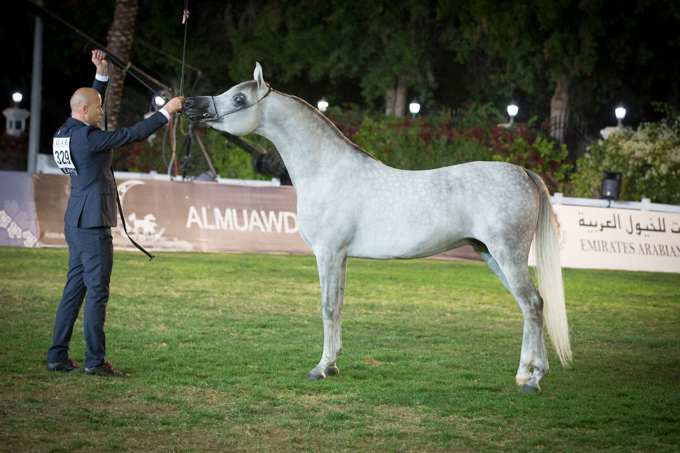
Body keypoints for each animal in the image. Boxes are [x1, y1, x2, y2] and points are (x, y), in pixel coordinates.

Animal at [183, 63, 572, 391]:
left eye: (239, 99)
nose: (190, 104)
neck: (327, 171)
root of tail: (523, 172)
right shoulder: (340, 256)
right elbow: (339, 305)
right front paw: (333, 364)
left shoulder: (327, 253)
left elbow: (327, 307)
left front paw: (319, 368)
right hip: (491, 254)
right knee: (529, 307)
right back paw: (523, 373)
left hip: (508, 254)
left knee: (533, 304)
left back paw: (535, 379)